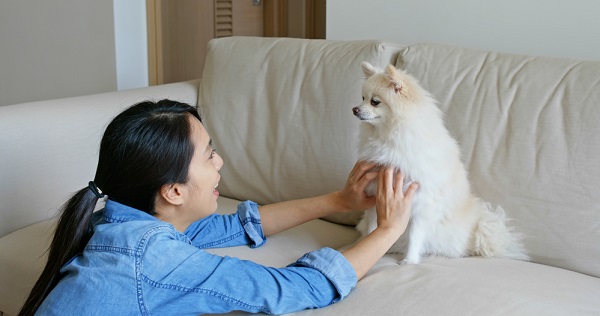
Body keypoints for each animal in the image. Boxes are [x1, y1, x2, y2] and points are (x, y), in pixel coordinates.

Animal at [354, 61, 528, 264]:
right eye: (362, 98)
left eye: (375, 101)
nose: (355, 109)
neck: (388, 136)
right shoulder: (375, 195)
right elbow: (372, 226)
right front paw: (368, 245)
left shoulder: (421, 202)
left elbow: (415, 234)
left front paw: (409, 260)